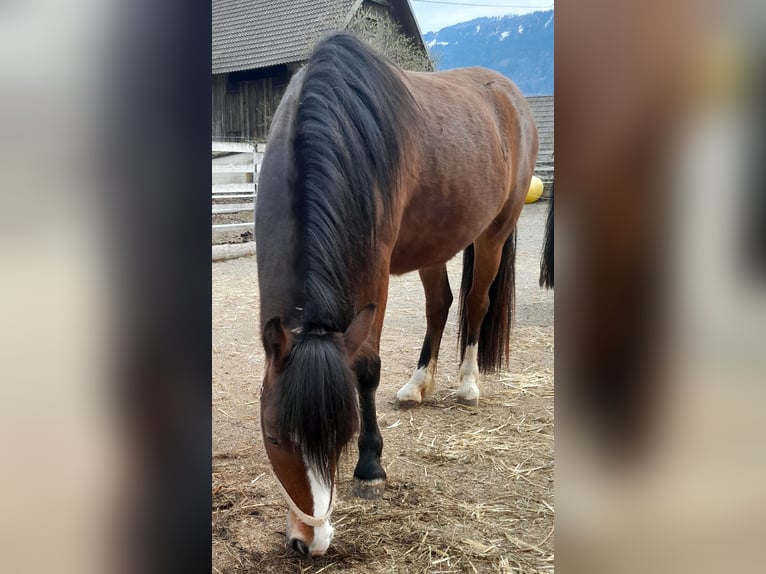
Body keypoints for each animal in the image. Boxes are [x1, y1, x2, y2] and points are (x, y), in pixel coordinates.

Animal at [256, 32, 540, 560]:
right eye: (273, 437)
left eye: (344, 434)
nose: (310, 541)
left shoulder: (376, 274)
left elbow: (365, 370)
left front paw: (370, 468)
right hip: (436, 241)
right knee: (440, 304)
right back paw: (417, 386)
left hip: (494, 233)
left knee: (476, 304)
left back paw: (468, 385)